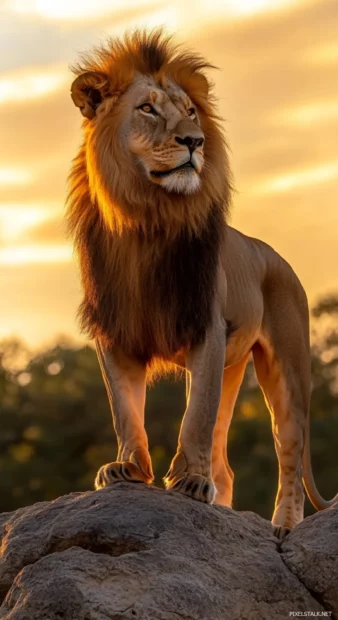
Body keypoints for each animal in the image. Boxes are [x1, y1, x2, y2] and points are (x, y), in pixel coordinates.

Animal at [67, 29, 336, 532]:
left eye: (190, 111)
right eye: (147, 109)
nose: (194, 141)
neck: (145, 220)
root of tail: (278, 258)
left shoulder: (205, 328)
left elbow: (195, 418)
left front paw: (189, 481)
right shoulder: (115, 332)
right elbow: (124, 411)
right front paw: (127, 468)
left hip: (287, 368)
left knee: (288, 450)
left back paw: (284, 526)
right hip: (233, 367)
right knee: (226, 463)